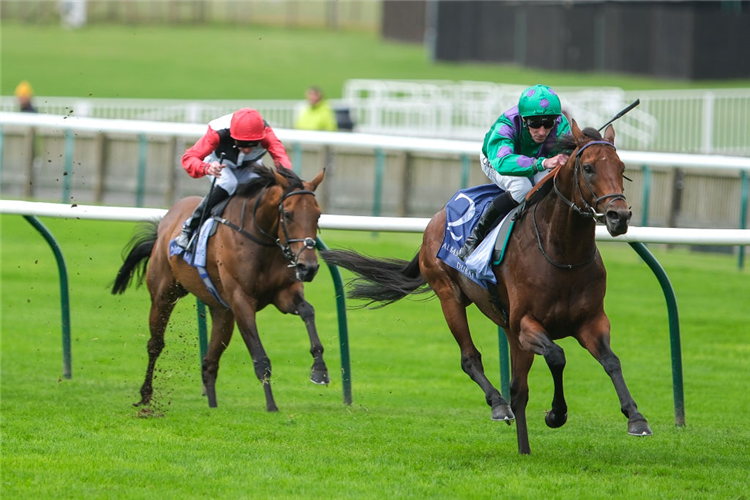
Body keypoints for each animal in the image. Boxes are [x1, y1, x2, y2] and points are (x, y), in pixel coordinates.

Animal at [111, 166, 326, 412]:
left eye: (318, 215)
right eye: (288, 214)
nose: (308, 267)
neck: (261, 241)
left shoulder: (284, 293)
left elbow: (308, 311)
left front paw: (320, 370)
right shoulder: (241, 301)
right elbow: (260, 357)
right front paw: (271, 405)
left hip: (222, 312)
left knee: (209, 362)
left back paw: (212, 406)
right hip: (163, 296)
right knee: (155, 344)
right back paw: (146, 395)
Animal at [322, 120, 652, 454]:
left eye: (622, 167)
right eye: (588, 168)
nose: (619, 216)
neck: (562, 255)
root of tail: (436, 218)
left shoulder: (590, 321)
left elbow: (611, 361)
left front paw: (636, 418)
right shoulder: (525, 324)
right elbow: (557, 356)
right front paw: (556, 414)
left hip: (507, 328)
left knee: (519, 390)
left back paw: (524, 447)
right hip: (450, 297)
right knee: (471, 359)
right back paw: (498, 405)